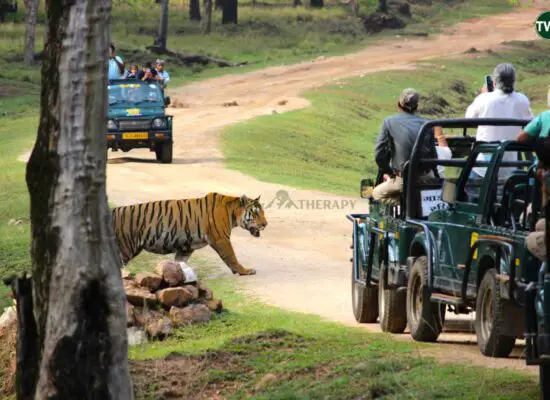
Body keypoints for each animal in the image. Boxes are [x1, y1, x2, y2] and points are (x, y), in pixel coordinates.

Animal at [111, 193, 268, 276]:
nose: (265, 224)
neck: (233, 213)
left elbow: (180, 262)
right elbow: (232, 257)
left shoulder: (186, 246)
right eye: (255, 213)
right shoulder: (221, 239)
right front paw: (245, 271)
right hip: (125, 249)